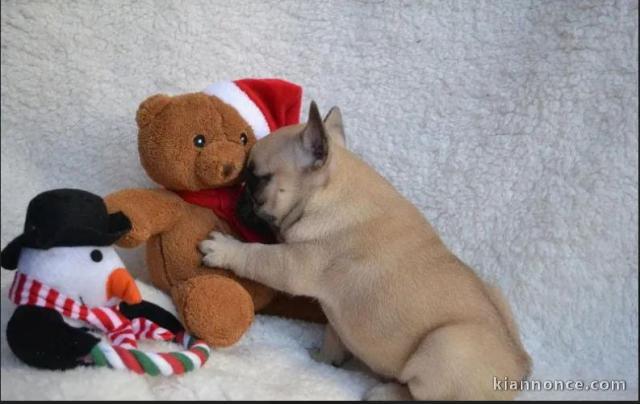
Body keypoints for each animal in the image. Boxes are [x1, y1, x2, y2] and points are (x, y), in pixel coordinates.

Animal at [200, 102, 528, 400]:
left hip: (447, 347)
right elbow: (333, 338)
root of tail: (520, 371)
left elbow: (257, 255)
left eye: (256, 179)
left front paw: (224, 248)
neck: (331, 192)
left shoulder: (294, 263)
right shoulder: (335, 313)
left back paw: (385, 393)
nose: (237, 198)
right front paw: (323, 360)